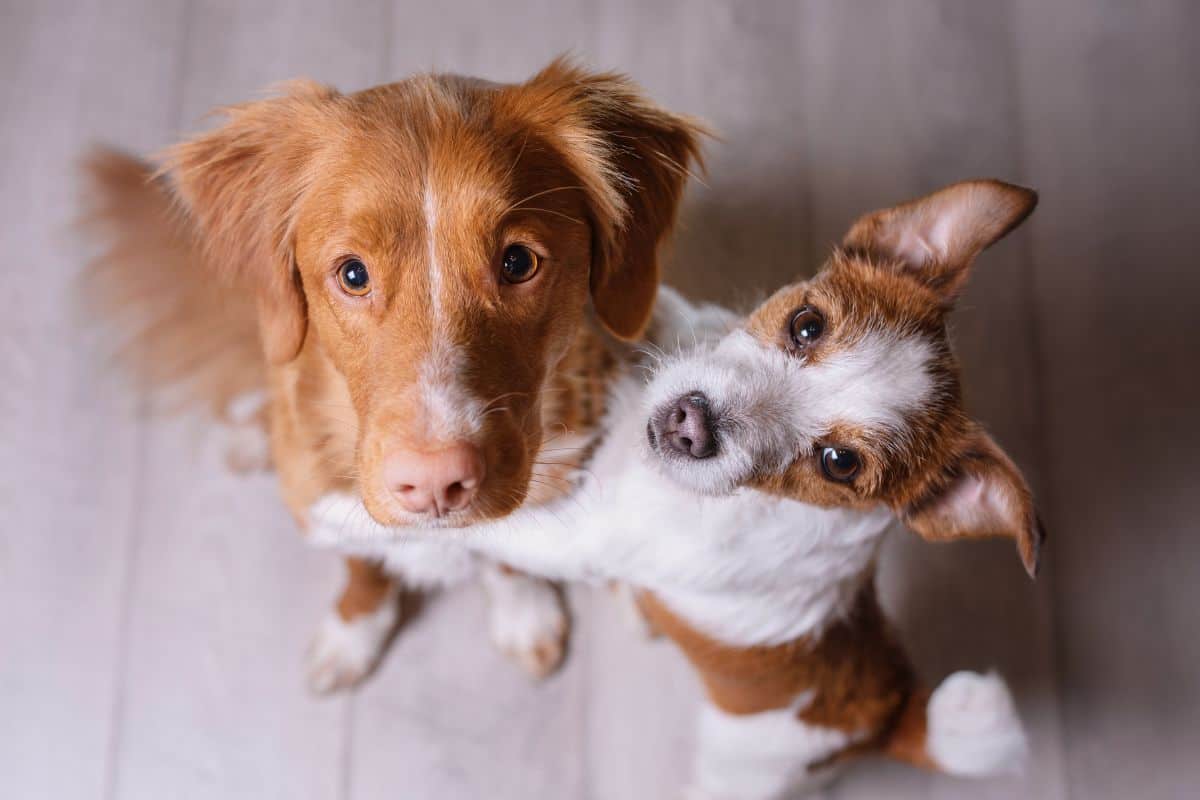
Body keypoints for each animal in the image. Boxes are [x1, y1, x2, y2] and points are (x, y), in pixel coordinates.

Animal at [84, 59, 700, 690]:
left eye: (518, 262)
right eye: (353, 274)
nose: (434, 483)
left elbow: (508, 556)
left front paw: (523, 615)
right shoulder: (329, 510)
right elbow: (364, 569)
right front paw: (353, 633)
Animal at [314, 178, 1046, 796]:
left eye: (838, 462)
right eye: (806, 324)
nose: (691, 423)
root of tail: (891, 711)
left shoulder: (583, 536)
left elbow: (493, 526)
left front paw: (359, 515)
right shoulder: (689, 325)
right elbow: (655, 310)